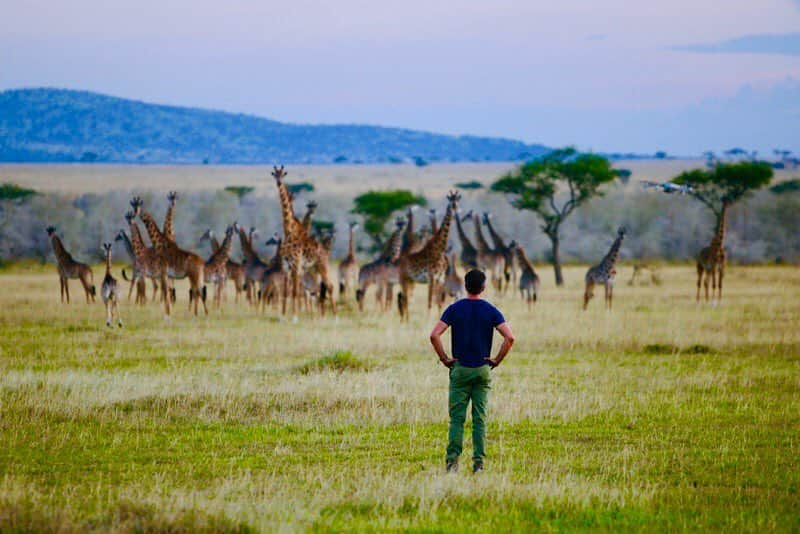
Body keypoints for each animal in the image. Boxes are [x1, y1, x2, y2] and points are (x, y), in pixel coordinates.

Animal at [270, 166, 336, 318]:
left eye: (282, 174)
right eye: (274, 174)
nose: (278, 183)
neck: (289, 231)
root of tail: (325, 251)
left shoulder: (296, 264)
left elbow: (295, 291)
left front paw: (295, 315)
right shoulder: (287, 266)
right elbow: (287, 292)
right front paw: (283, 315)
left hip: (321, 265)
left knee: (329, 286)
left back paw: (335, 316)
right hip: (313, 267)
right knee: (320, 289)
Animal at [396, 193, 460, 322]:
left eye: (458, 201)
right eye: (450, 202)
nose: (456, 211)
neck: (440, 249)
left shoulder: (440, 278)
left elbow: (439, 302)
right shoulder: (431, 277)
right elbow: (430, 301)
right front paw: (427, 321)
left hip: (411, 281)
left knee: (406, 299)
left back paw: (406, 321)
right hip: (403, 279)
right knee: (404, 299)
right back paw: (405, 322)